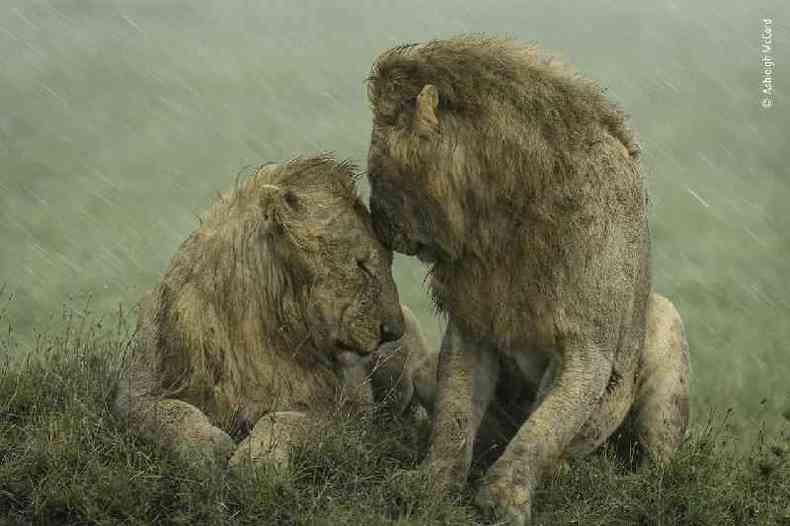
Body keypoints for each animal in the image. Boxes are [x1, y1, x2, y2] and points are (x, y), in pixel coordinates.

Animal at [113, 155, 440, 472]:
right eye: (361, 264)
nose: (392, 330)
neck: (254, 331)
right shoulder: (136, 388)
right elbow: (167, 413)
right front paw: (206, 446)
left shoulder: (344, 417)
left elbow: (283, 420)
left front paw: (258, 461)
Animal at [368, 36, 688, 524]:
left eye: (375, 172)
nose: (376, 222)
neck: (501, 219)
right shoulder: (472, 326)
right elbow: (454, 417)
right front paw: (431, 485)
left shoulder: (588, 350)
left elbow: (544, 427)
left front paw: (504, 498)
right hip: (422, 370)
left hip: (665, 325)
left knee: (657, 462)